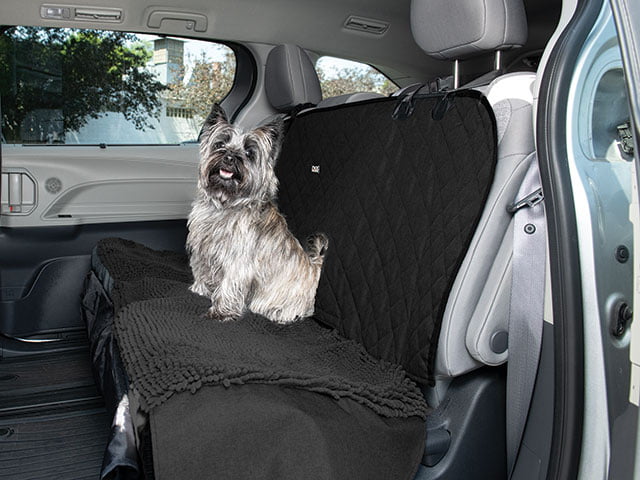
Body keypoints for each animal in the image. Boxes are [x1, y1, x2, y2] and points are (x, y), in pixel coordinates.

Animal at [186, 104, 328, 324]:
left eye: (248, 152)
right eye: (220, 144)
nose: (229, 157)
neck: (227, 203)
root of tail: (315, 269)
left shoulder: (238, 260)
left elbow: (229, 283)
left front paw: (221, 312)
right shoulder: (204, 248)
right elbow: (202, 269)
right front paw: (199, 290)